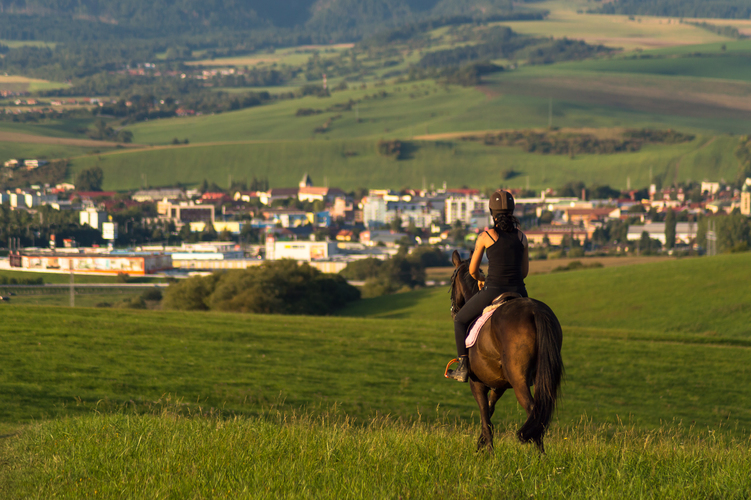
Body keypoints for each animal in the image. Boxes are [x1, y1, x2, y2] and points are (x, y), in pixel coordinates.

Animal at [446, 250, 564, 454]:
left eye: (452, 281)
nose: (454, 310)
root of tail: (534, 311)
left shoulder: (477, 383)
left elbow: (485, 415)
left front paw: (488, 453)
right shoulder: (498, 385)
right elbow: (489, 412)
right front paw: (481, 445)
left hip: (518, 380)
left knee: (533, 412)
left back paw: (539, 457)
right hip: (541, 375)